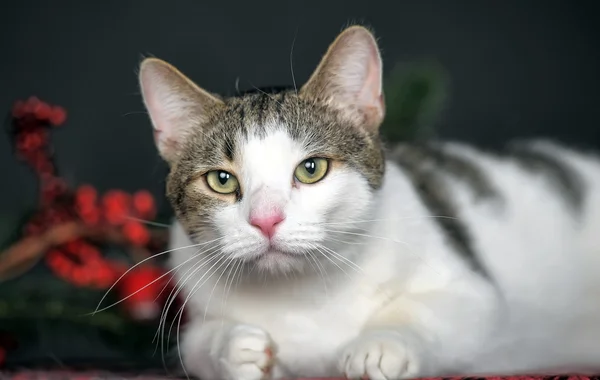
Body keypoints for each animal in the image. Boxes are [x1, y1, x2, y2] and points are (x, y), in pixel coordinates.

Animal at [137, 25, 600, 380]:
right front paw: (234, 347)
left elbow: (436, 309)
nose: (266, 220)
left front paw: (380, 344)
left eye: (312, 169)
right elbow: (196, 346)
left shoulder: (472, 293)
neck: (302, 295)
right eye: (221, 179)